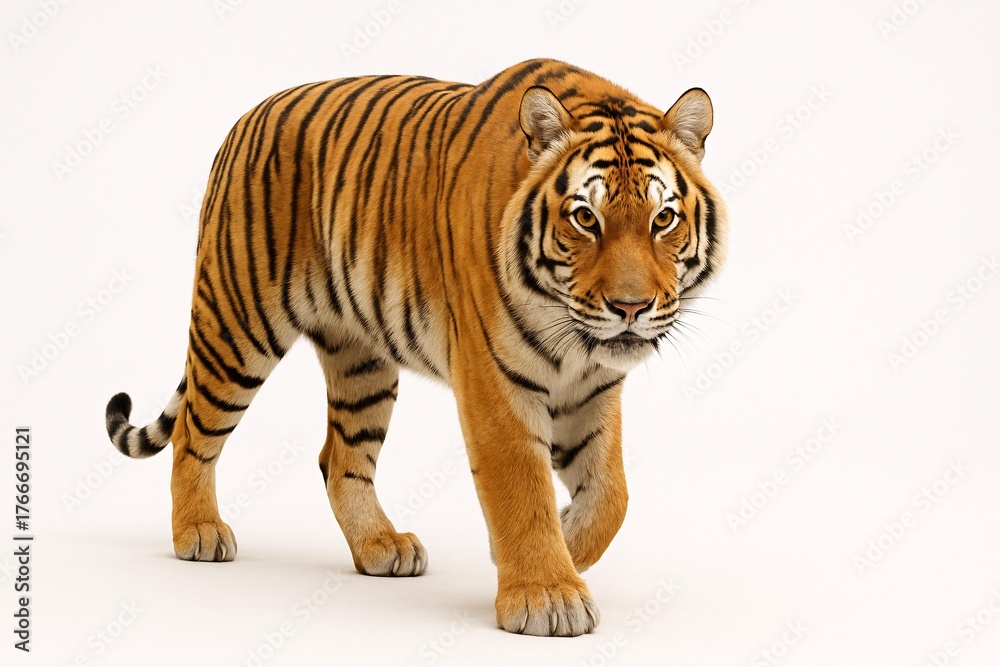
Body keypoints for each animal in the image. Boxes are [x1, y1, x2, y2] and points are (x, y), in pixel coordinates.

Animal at [104, 58, 727, 637]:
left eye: (663, 219)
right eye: (585, 218)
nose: (631, 308)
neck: (575, 343)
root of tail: (245, 119)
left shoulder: (592, 391)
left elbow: (611, 495)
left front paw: (559, 548)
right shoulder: (495, 383)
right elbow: (521, 489)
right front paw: (547, 594)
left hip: (361, 360)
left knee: (341, 458)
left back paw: (380, 547)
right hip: (237, 324)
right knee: (193, 433)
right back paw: (198, 532)